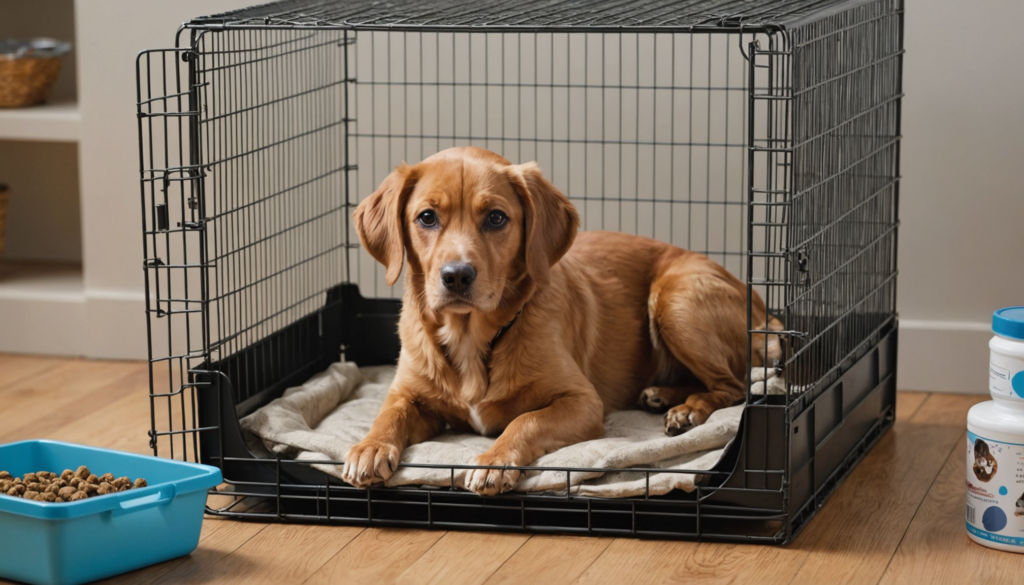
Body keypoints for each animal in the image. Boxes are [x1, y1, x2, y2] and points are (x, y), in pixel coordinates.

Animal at [339, 146, 778, 493]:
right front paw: (369, 448)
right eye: (427, 217)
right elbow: (388, 413)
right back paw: (663, 396)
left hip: (675, 300)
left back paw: (689, 410)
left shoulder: (583, 402)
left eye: (496, 218)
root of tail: (759, 302)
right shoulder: (407, 393)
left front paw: (495, 460)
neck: (474, 337)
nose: (457, 276)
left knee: (734, 386)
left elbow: (526, 420)